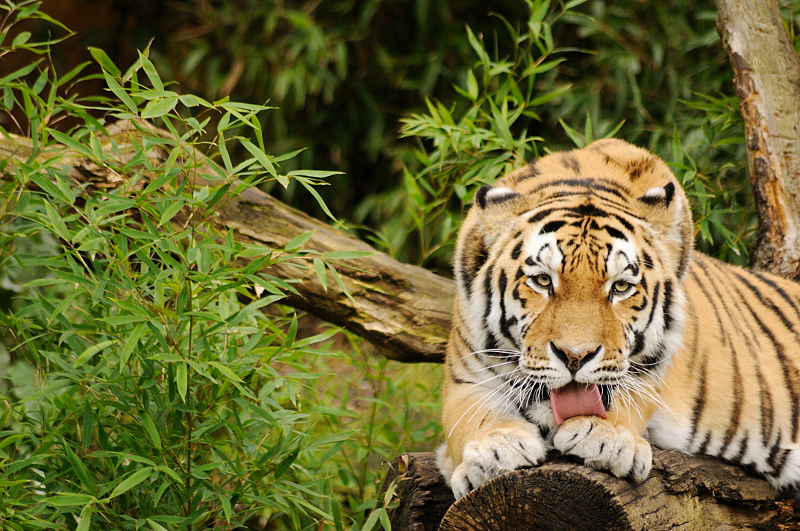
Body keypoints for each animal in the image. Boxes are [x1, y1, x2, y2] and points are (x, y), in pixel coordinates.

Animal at [438, 138, 800, 500]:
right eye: (542, 281)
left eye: (621, 287)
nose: (574, 357)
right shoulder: (465, 377)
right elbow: (475, 415)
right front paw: (497, 449)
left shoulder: (654, 369)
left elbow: (629, 397)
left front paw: (604, 436)